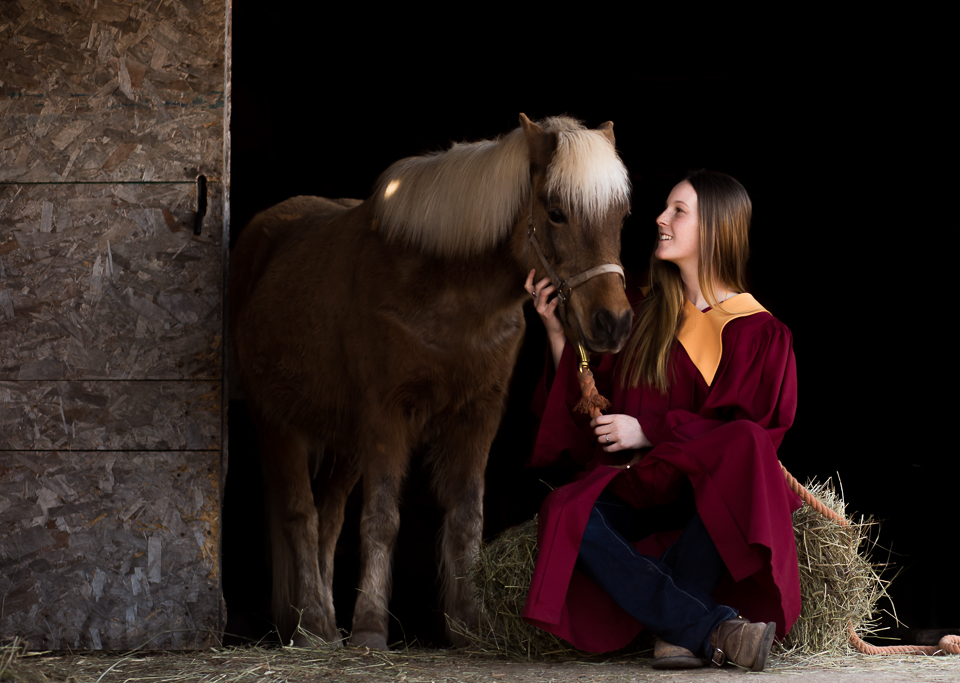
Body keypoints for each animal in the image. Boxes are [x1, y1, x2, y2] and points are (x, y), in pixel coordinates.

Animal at [231, 115, 636, 648]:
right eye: (556, 213)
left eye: (621, 216)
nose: (614, 323)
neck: (446, 292)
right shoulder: (386, 417)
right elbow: (382, 520)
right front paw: (370, 629)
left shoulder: (477, 416)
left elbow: (466, 518)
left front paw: (470, 623)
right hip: (279, 425)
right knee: (301, 515)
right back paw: (315, 625)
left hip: (345, 444)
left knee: (329, 519)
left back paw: (325, 625)